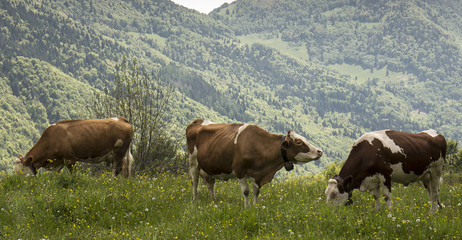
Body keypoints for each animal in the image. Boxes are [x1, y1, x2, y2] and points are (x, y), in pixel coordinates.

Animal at [186, 119, 324, 207]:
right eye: (299, 142)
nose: (319, 151)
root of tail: (198, 121)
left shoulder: (258, 174)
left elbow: (256, 191)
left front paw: (256, 207)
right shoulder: (239, 170)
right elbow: (246, 191)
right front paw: (247, 208)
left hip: (208, 165)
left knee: (210, 182)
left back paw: (213, 200)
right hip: (193, 161)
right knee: (194, 181)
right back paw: (194, 199)